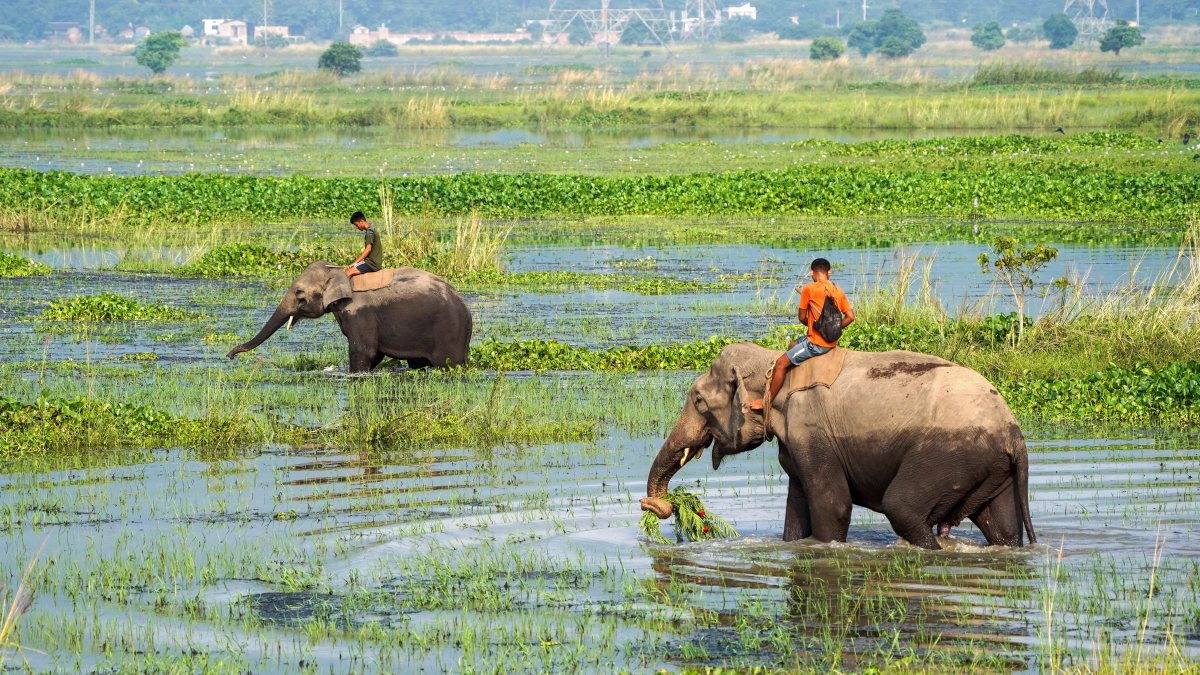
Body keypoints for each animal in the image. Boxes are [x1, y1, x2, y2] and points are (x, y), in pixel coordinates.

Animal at [227, 262, 472, 372]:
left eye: (300, 295)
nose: (230, 356)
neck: (341, 273)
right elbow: (374, 355)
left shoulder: (360, 314)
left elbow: (364, 351)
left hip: (448, 332)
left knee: (448, 363)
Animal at [639, 343, 1036, 550]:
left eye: (699, 401)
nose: (657, 506)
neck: (775, 365)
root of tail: (1014, 434)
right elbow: (797, 507)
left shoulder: (811, 429)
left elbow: (832, 504)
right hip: (988, 467)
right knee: (1002, 527)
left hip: (949, 455)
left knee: (902, 507)